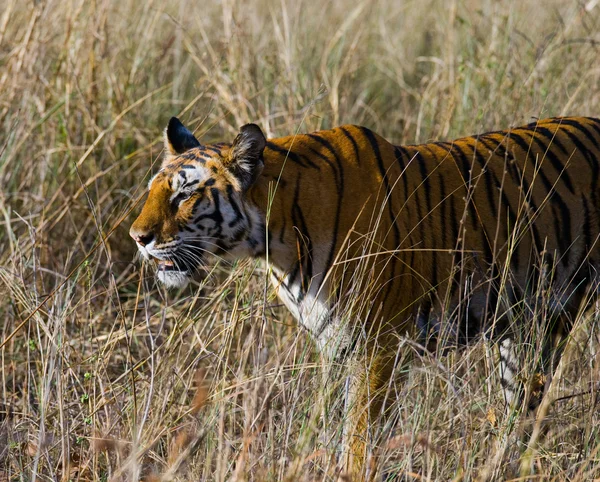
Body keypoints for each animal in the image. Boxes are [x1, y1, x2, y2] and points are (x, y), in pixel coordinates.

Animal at [130, 114, 600, 478]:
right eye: (154, 190)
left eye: (185, 194)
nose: (137, 238)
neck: (276, 236)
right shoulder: (333, 342)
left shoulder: (379, 344)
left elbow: (359, 433)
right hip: (522, 331)